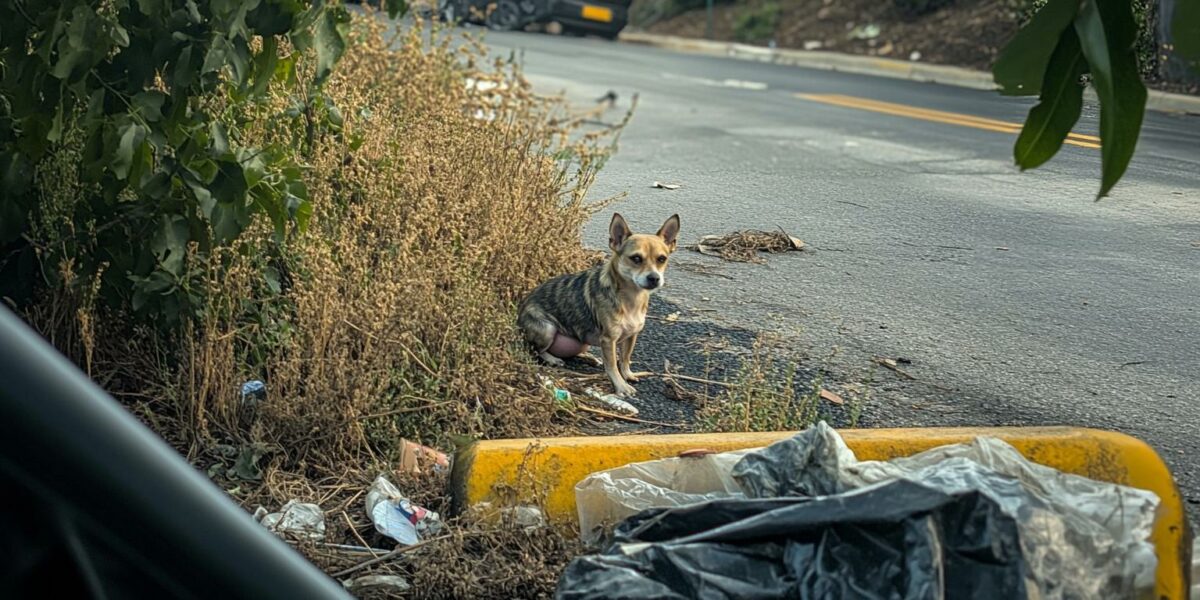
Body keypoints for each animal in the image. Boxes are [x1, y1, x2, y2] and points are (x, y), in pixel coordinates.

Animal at [518, 213, 681, 396]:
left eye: (662, 259)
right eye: (636, 258)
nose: (654, 278)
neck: (632, 298)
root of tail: (520, 311)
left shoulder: (631, 336)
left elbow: (625, 359)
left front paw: (627, 375)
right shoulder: (609, 339)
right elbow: (612, 365)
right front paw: (621, 386)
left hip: (581, 341)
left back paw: (589, 357)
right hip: (547, 329)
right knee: (536, 350)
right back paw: (552, 359)